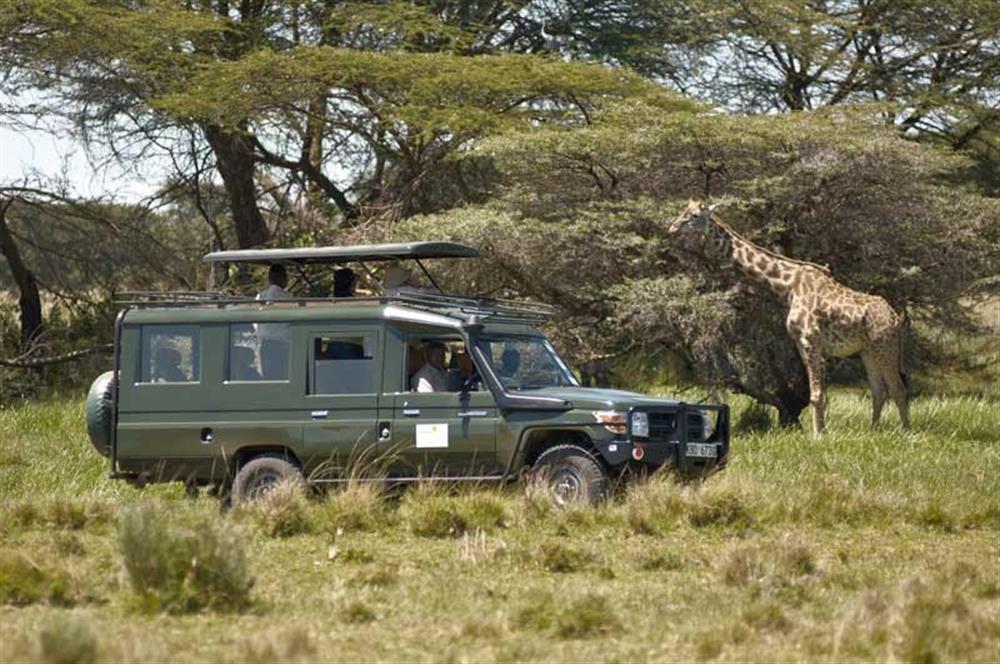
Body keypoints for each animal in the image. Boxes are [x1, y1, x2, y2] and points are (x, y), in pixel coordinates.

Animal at [668, 201, 912, 436]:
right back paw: (873, 431)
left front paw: (818, 436)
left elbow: (816, 394)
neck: (787, 286)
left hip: (884, 346)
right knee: (879, 391)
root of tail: (896, 319)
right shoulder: (800, 342)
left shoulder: (810, 339)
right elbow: (815, 392)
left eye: (694, 215)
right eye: (683, 211)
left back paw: (906, 433)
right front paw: (821, 431)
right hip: (867, 350)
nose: (672, 228)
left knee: (898, 388)